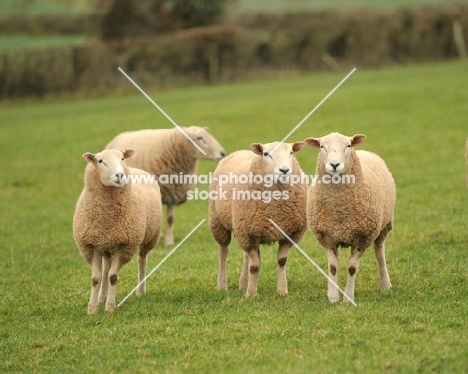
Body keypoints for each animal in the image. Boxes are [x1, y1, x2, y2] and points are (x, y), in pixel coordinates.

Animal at [72, 148, 162, 314]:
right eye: (100, 161)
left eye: (122, 158)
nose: (120, 175)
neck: (107, 220)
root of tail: (136, 169)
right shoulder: (92, 245)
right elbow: (96, 278)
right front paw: (93, 308)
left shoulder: (124, 246)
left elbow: (113, 277)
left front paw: (110, 306)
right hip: (107, 246)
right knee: (106, 269)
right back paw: (102, 296)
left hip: (148, 238)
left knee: (141, 261)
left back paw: (140, 291)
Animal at [209, 142, 308, 296]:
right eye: (266, 154)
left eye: (291, 152)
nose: (284, 170)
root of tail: (240, 151)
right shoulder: (248, 235)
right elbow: (255, 266)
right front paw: (251, 294)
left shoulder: (290, 233)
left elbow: (282, 261)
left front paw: (282, 291)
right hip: (218, 221)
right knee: (223, 251)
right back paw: (222, 285)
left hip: (243, 228)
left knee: (245, 256)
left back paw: (243, 283)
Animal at [304, 133, 394, 302]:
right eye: (322, 146)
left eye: (348, 146)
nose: (334, 165)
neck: (340, 208)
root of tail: (364, 151)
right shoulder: (327, 236)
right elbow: (332, 267)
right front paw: (333, 297)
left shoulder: (363, 237)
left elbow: (352, 268)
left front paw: (348, 298)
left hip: (383, 227)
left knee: (380, 253)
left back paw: (386, 285)